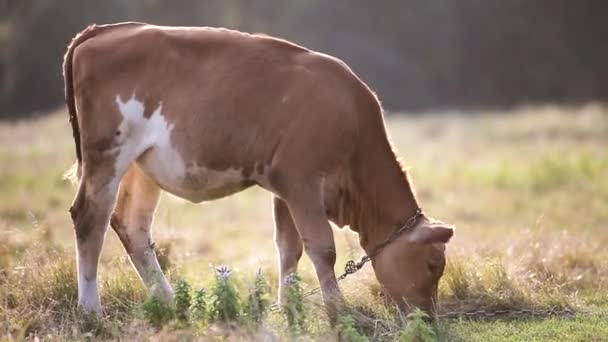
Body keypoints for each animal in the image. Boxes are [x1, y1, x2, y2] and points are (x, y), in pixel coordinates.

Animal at [64, 22, 454, 320]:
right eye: (434, 264)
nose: (428, 319)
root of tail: (104, 30)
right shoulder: (302, 181)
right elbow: (322, 248)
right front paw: (338, 313)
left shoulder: (286, 188)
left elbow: (289, 248)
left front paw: (290, 309)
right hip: (107, 153)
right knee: (90, 218)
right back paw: (91, 311)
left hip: (142, 167)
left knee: (132, 226)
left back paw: (169, 302)